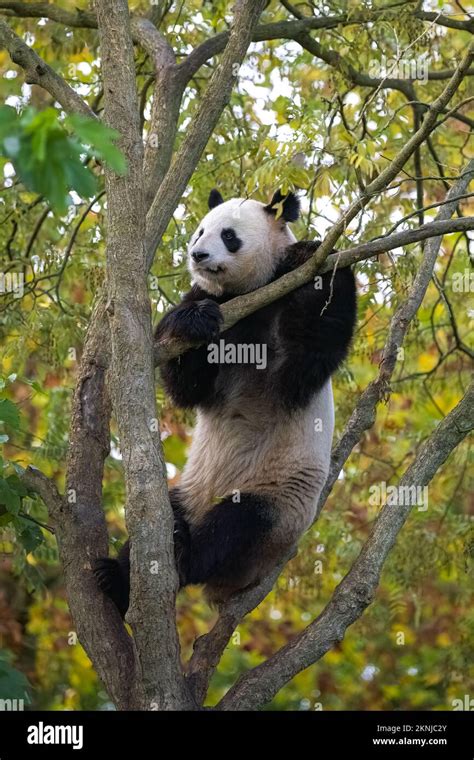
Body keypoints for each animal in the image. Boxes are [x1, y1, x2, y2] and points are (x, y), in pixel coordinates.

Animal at [95, 190, 356, 616]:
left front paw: (311, 256)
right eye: (201, 230)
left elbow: (306, 353)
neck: (246, 293)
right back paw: (117, 578)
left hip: (279, 502)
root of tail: (225, 589)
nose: (197, 254)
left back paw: (187, 556)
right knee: (160, 519)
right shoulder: (214, 303)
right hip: (188, 491)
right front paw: (194, 321)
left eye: (229, 235)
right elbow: (189, 385)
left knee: (236, 528)